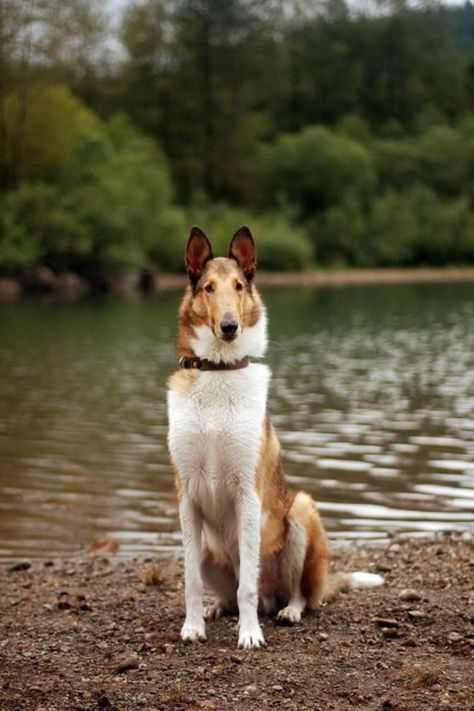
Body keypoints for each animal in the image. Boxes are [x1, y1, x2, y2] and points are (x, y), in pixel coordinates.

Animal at [167, 228, 382, 652]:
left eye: (238, 286)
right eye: (209, 288)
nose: (229, 327)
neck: (219, 372)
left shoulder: (247, 493)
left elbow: (247, 586)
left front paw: (250, 634)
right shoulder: (187, 497)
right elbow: (190, 581)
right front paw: (193, 627)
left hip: (300, 512)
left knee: (294, 593)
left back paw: (288, 612)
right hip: (209, 545)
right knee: (227, 592)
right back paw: (217, 608)